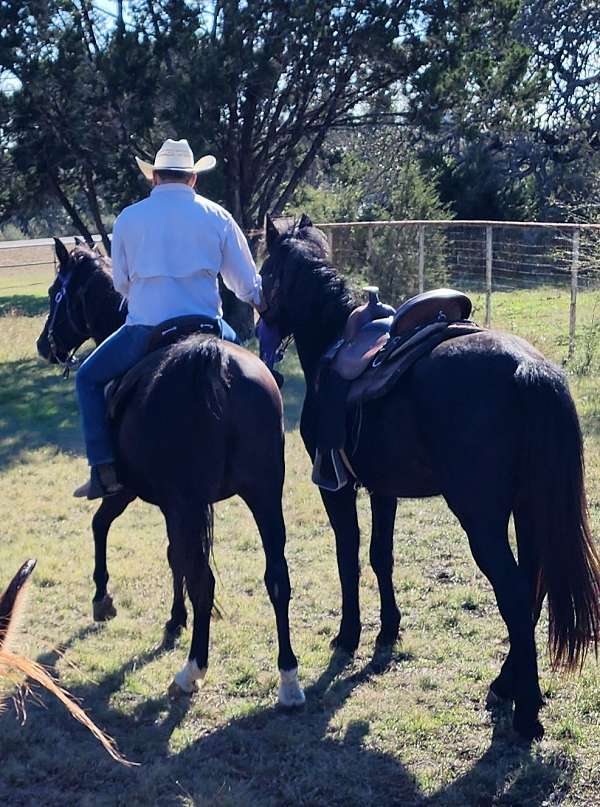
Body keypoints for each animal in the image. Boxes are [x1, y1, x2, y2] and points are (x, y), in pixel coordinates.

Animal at [35, 240, 304, 708]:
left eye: (56, 293)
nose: (42, 345)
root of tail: (213, 362)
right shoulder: (172, 505)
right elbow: (174, 555)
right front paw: (176, 619)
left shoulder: (129, 490)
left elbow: (102, 525)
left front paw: (103, 598)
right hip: (264, 495)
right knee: (276, 577)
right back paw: (288, 677)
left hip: (190, 502)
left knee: (204, 580)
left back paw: (192, 670)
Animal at [260, 213, 600, 740]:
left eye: (265, 268)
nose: (259, 318)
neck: (335, 336)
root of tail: (527, 368)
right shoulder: (383, 490)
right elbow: (381, 556)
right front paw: (388, 630)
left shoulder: (337, 489)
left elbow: (348, 557)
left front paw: (349, 635)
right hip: (529, 506)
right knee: (533, 583)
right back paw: (507, 686)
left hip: (481, 518)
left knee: (514, 590)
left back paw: (525, 711)